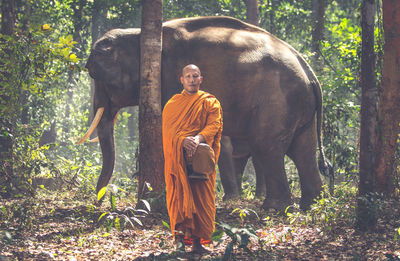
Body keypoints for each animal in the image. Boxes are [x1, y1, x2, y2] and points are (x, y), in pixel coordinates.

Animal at [79, 15, 330, 209]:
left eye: (95, 74)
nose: (99, 203)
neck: (137, 34)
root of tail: (310, 73)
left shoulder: (170, 81)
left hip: (275, 103)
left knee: (267, 146)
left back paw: (274, 207)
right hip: (299, 107)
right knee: (303, 150)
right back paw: (312, 205)